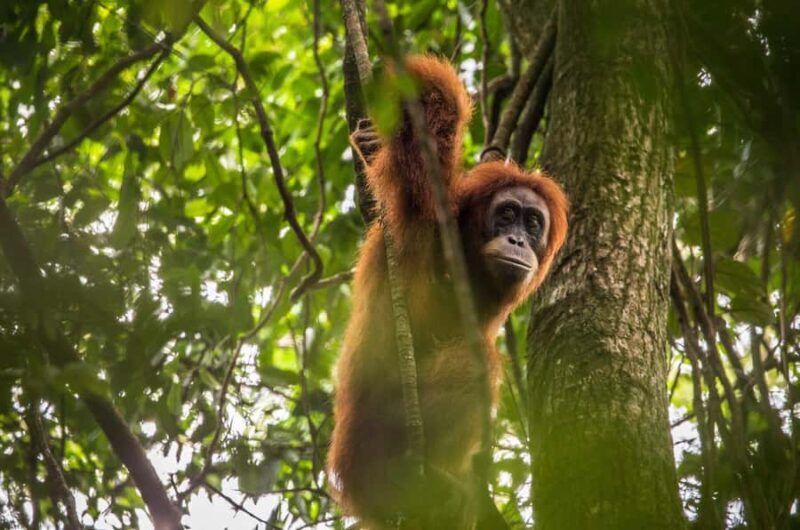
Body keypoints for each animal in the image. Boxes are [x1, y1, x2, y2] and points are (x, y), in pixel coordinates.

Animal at [328, 54, 569, 528]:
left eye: (533, 223)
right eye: (507, 214)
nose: (517, 240)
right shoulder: (426, 216)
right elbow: (430, 131)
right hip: (367, 443)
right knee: (477, 366)